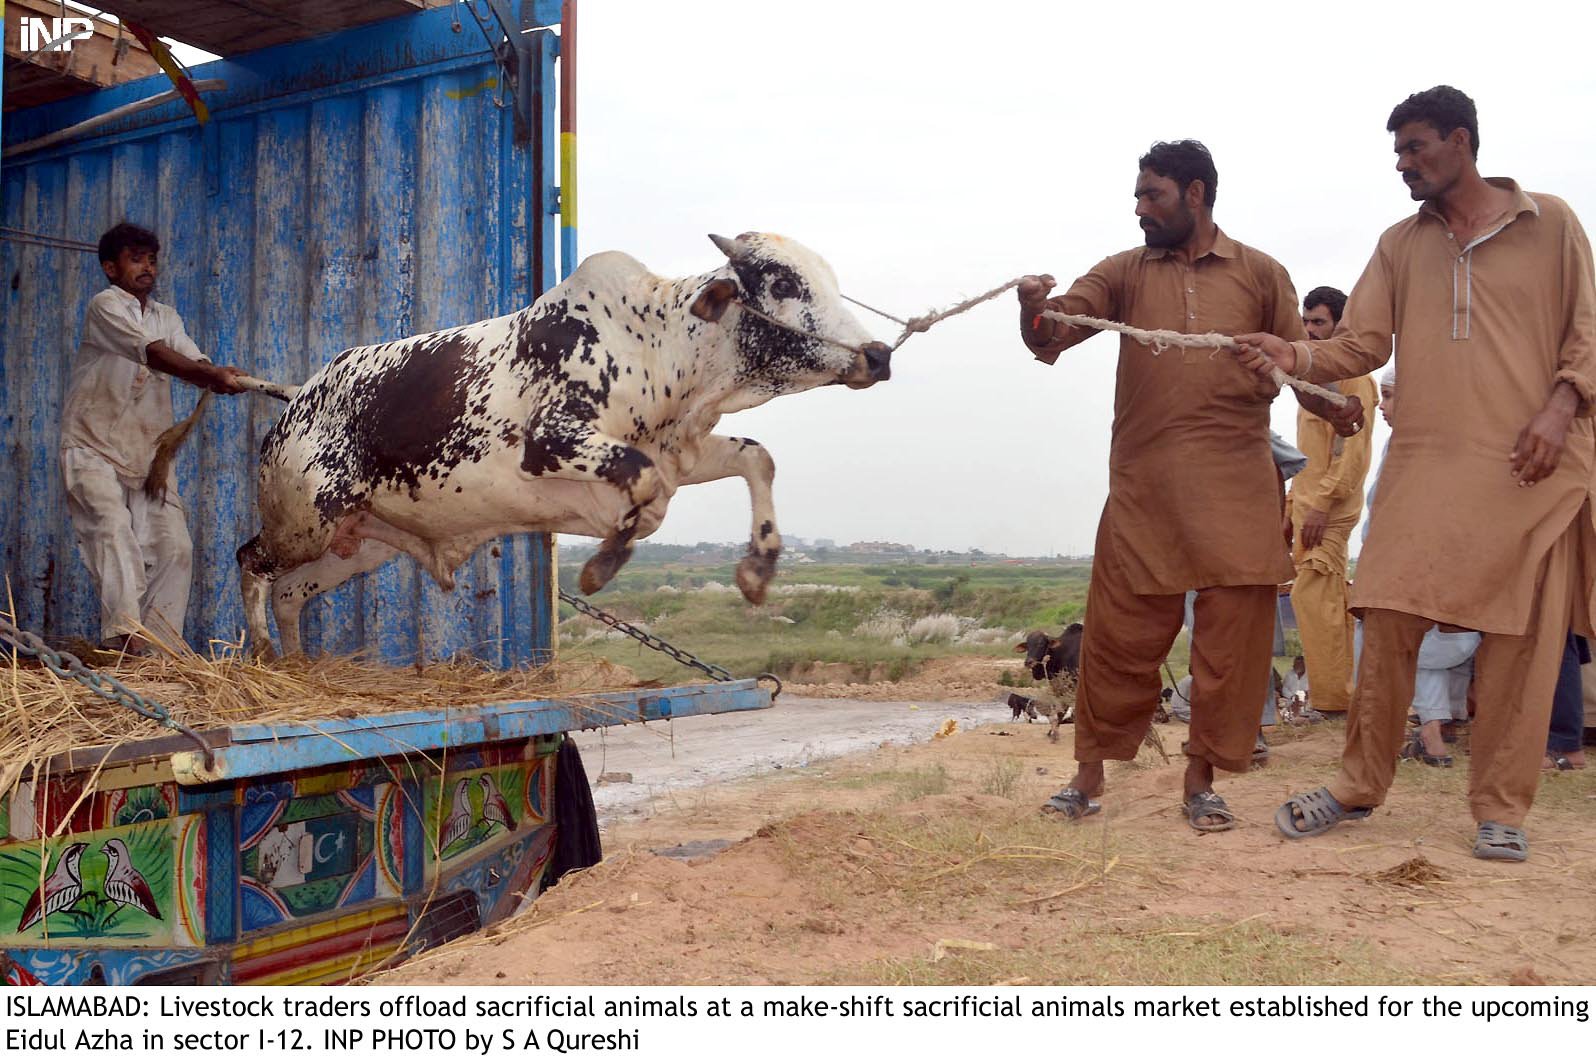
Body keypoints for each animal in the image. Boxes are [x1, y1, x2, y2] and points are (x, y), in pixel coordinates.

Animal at [237, 234, 893, 654]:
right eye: (781, 281)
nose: (878, 353)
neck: (657, 346)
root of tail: (297, 396)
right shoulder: (554, 441)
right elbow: (638, 480)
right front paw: (603, 563)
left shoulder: (684, 454)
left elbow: (757, 458)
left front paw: (757, 570)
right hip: (305, 520)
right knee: (250, 561)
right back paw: (266, 651)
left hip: (360, 542)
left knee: (290, 593)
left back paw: (301, 667)